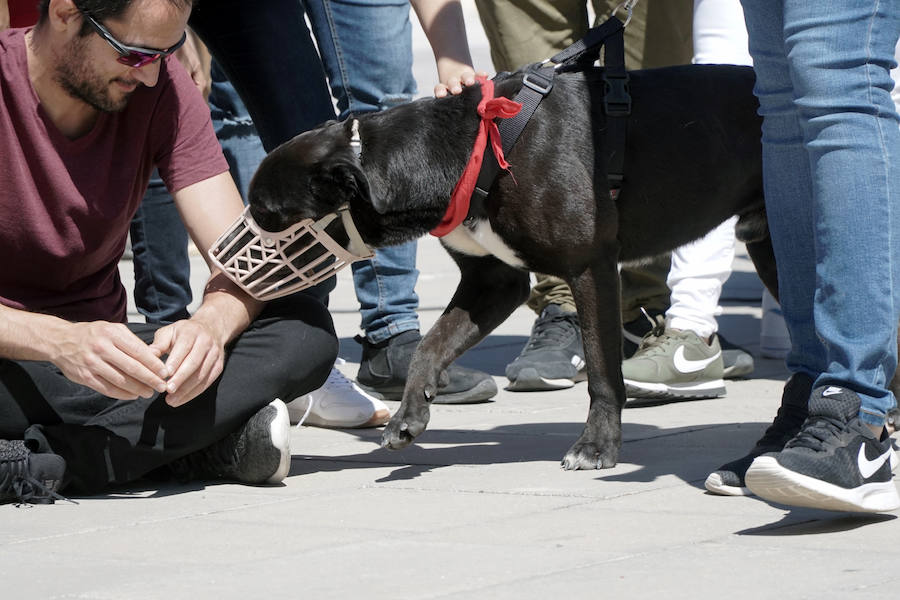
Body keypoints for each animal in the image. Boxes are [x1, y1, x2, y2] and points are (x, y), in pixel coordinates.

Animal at [246, 64, 772, 468]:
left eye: (269, 215)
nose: (231, 272)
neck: (476, 148)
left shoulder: (592, 269)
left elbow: (603, 370)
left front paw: (597, 445)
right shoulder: (494, 282)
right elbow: (430, 347)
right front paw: (409, 416)